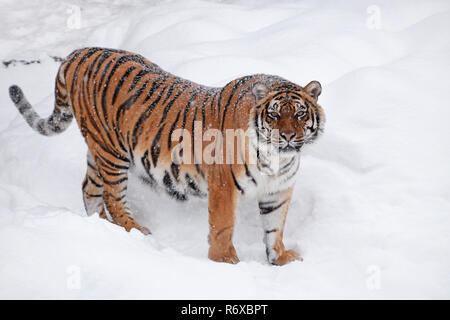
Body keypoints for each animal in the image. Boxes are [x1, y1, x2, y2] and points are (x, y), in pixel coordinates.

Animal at [8, 47, 326, 266]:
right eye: (274, 115)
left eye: (299, 114)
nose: (288, 136)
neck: (277, 160)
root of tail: (80, 52)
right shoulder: (224, 185)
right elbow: (222, 226)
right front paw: (225, 262)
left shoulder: (279, 191)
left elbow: (275, 227)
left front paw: (280, 258)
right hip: (112, 153)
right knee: (113, 196)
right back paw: (135, 231)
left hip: (98, 150)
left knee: (89, 188)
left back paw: (100, 227)